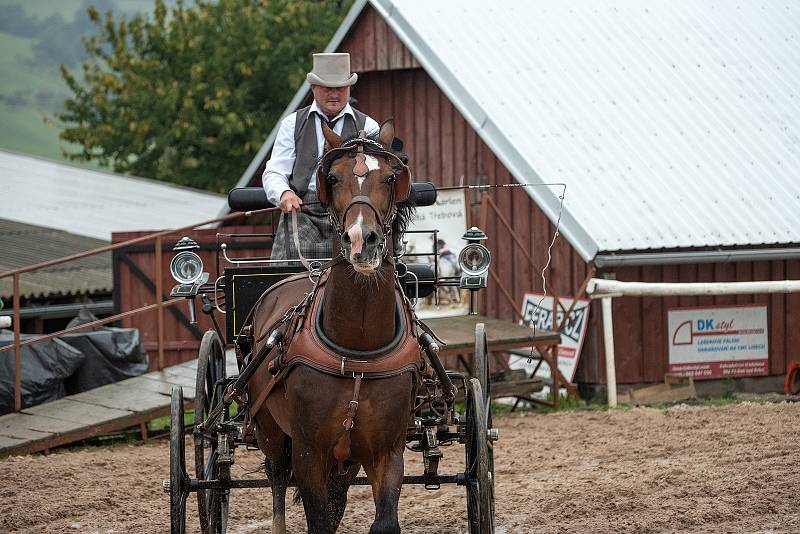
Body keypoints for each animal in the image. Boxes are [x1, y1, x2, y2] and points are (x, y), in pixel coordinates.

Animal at [248, 121, 418, 534]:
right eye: (333, 177)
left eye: (391, 177)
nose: (361, 240)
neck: (357, 350)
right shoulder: (309, 452)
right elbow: (319, 521)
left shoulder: (387, 451)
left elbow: (383, 521)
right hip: (270, 432)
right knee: (277, 476)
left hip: (347, 458)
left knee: (337, 495)